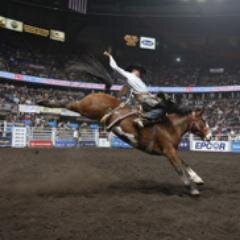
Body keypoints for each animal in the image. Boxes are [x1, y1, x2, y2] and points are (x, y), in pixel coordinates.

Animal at [41, 93, 212, 196]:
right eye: (203, 121)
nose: (210, 136)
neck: (170, 127)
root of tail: (96, 93)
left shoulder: (171, 151)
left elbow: (185, 164)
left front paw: (198, 179)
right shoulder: (169, 151)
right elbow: (179, 168)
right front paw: (192, 189)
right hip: (86, 109)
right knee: (70, 104)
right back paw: (45, 103)